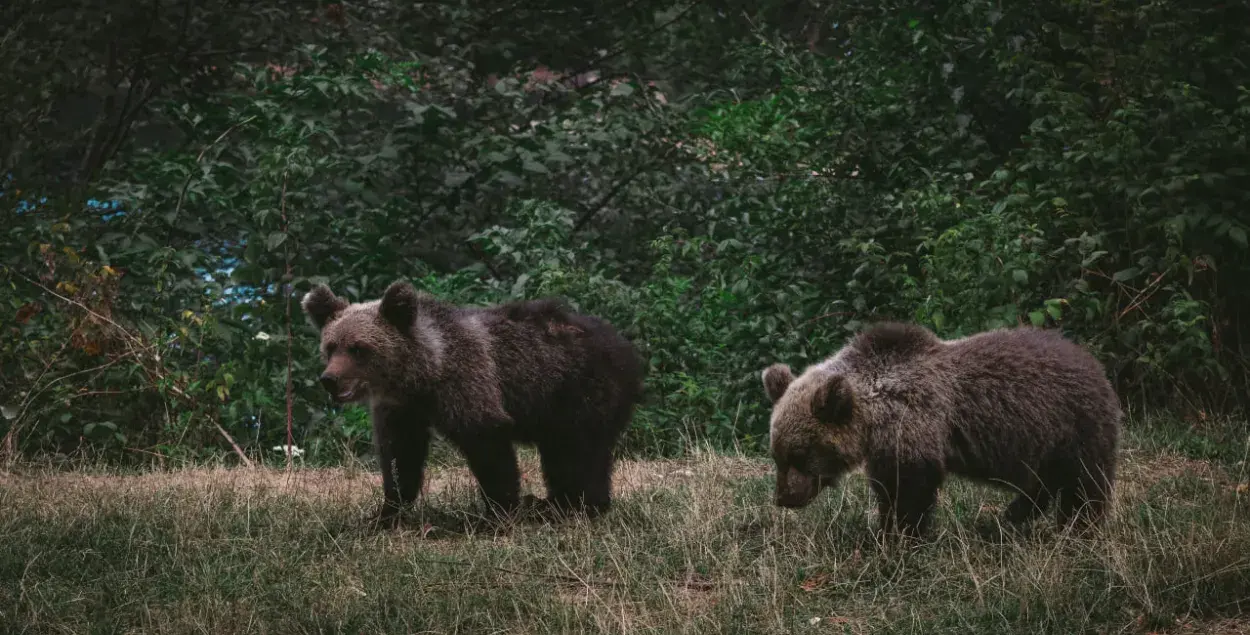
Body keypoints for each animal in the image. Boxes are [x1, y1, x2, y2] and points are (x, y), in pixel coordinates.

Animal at [760, 322, 1125, 535]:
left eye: (800, 454)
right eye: (776, 454)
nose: (783, 498)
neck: (873, 416)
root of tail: (1093, 361)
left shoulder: (915, 425)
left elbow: (910, 489)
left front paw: (900, 536)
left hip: (1074, 427)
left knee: (1083, 484)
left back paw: (1076, 527)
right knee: (1042, 483)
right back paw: (1010, 516)